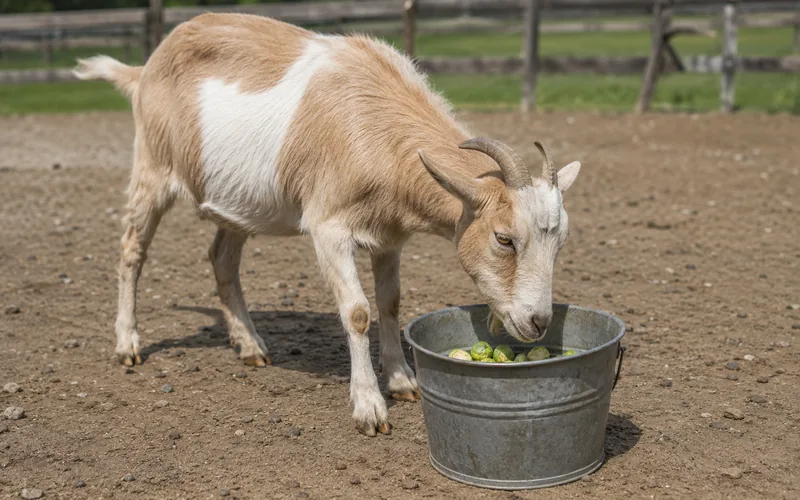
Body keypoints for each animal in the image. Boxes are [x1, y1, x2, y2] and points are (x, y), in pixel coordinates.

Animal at [72, 13, 581, 436]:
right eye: (504, 238)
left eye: (559, 244)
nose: (537, 322)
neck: (372, 123)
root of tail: (145, 68)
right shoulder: (328, 228)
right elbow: (357, 311)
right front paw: (369, 407)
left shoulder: (390, 237)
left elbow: (391, 303)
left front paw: (403, 381)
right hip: (152, 167)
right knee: (132, 250)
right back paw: (128, 344)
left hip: (235, 200)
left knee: (221, 259)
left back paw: (250, 346)